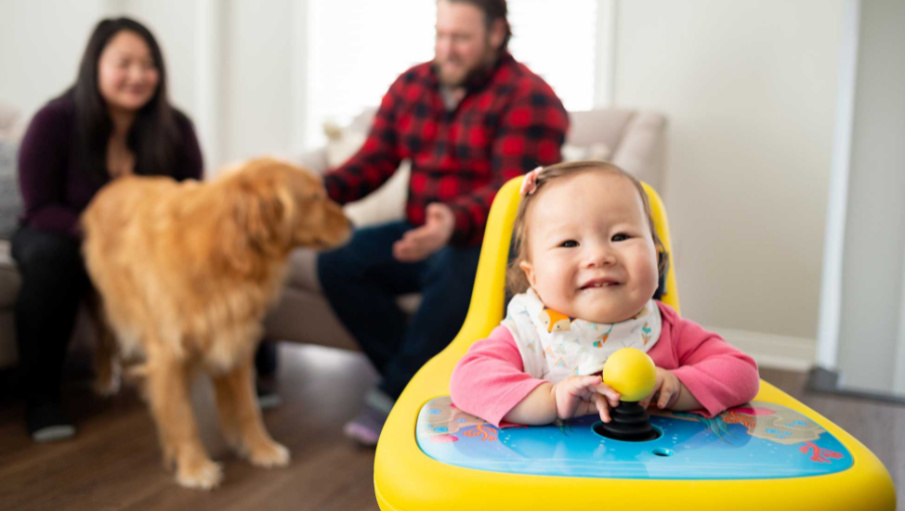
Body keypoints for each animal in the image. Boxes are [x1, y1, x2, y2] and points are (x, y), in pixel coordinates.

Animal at [80, 158, 350, 490]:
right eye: (315, 197)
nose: (353, 224)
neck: (226, 253)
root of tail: (115, 183)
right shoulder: (170, 351)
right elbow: (182, 415)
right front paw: (195, 467)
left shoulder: (235, 338)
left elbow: (248, 408)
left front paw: (261, 448)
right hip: (107, 305)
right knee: (104, 341)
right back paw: (107, 378)